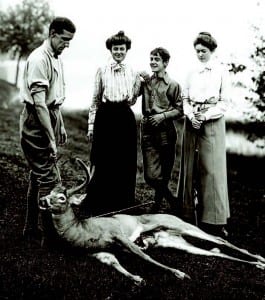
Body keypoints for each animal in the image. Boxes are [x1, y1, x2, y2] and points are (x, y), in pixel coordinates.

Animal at [39, 158, 264, 284]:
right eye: (50, 192)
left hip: (180, 225)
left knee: (219, 240)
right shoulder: (97, 253)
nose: (42, 200)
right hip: (176, 242)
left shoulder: (119, 234)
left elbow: (144, 257)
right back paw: (257, 264)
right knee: (213, 252)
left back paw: (259, 258)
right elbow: (114, 262)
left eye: (62, 197)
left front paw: (179, 273)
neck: (83, 231)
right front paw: (137, 279)